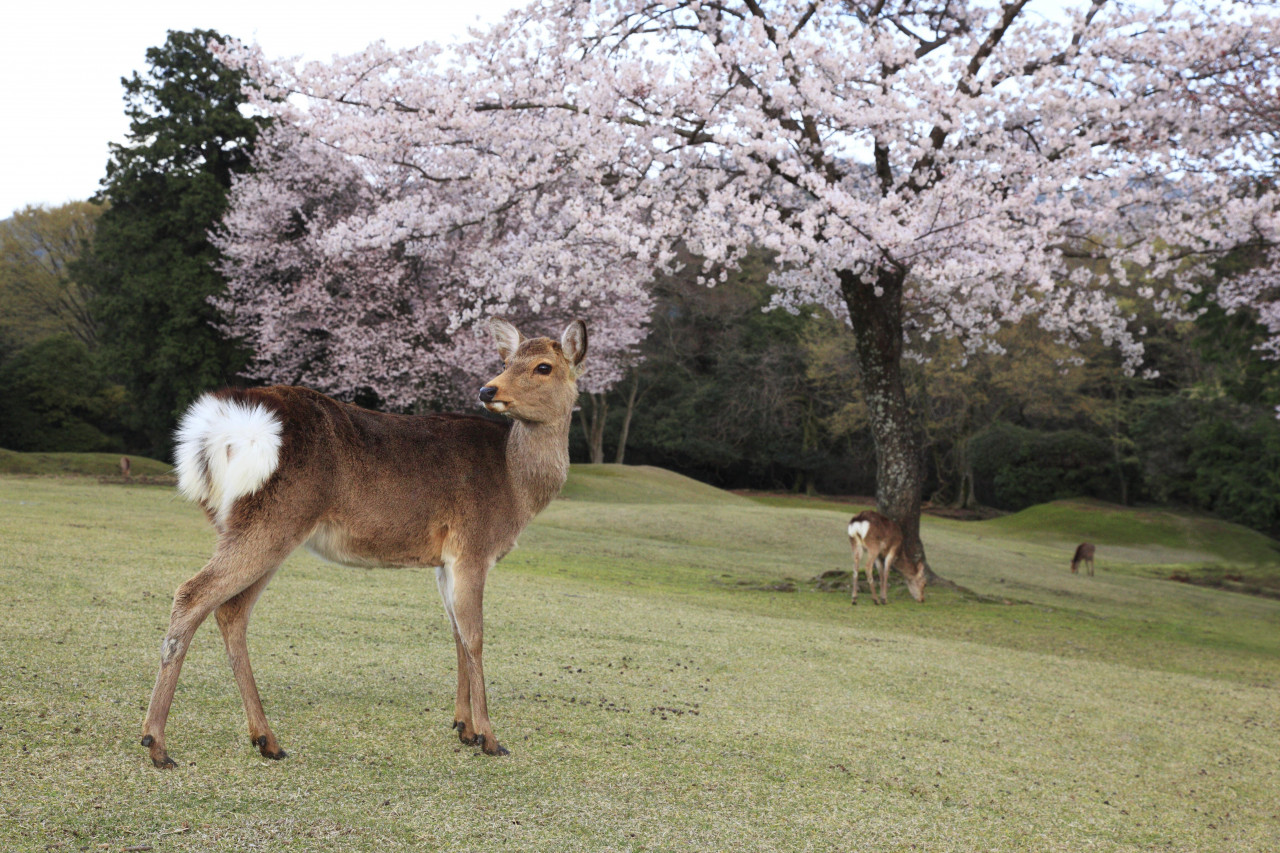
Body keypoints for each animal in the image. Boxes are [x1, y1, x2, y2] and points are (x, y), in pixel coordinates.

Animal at [137, 317, 586, 763]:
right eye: (507, 362)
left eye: (543, 366)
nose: (487, 390)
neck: (516, 485)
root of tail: (218, 429)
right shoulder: (474, 546)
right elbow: (475, 637)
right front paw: (490, 738)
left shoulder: (446, 561)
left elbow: (457, 633)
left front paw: (464, 728)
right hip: (273, 520)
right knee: (192, 594)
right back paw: (157, 743)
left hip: (248, 526)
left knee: (231, 611)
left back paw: (266, 740)